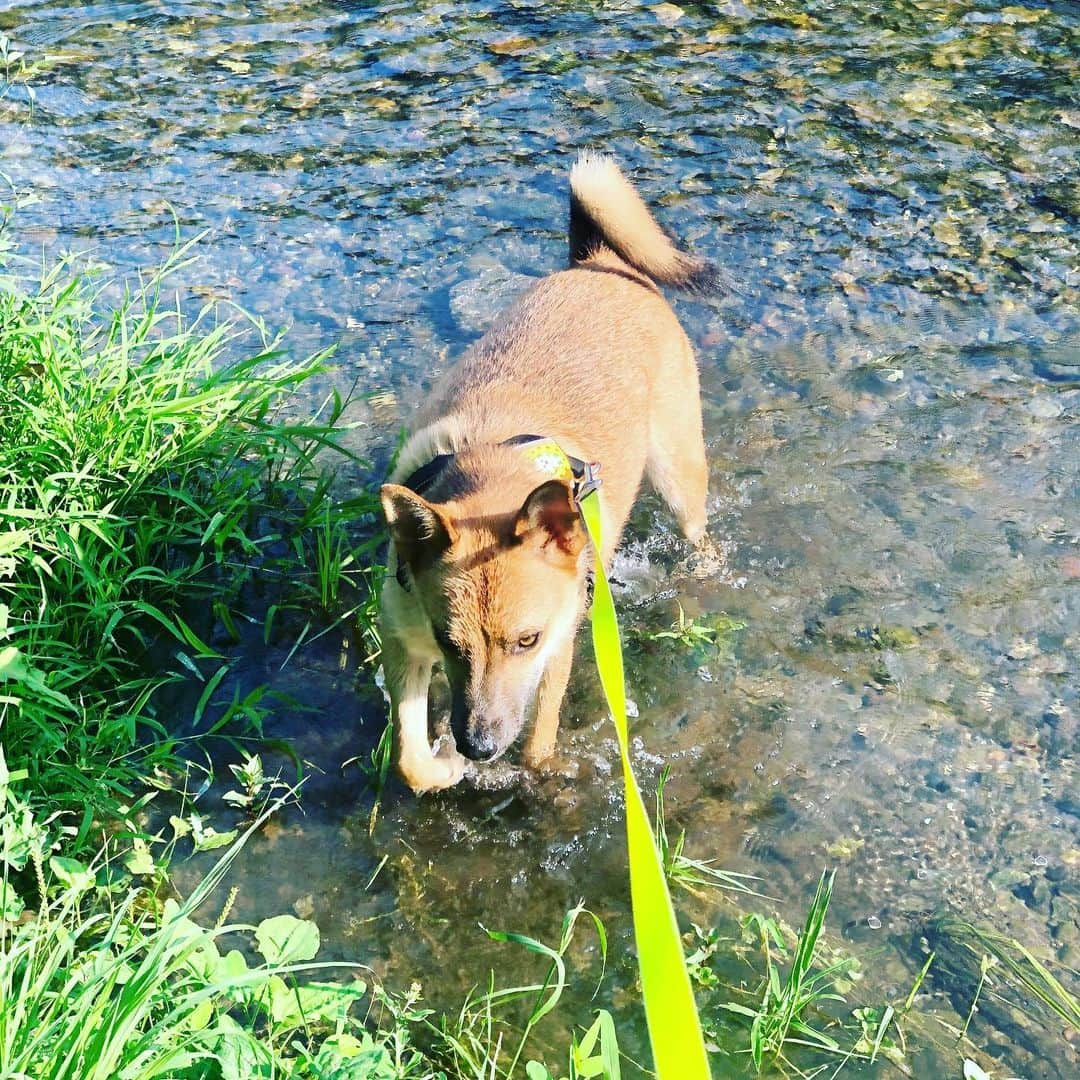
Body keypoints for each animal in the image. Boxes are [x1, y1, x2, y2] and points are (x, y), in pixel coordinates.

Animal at [375, 154, 712, 794]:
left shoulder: (560, 646)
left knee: (698, 530)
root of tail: (600, 264)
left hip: (679, 473)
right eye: (449, 641)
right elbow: (409, 762)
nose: (479, 747)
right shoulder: (405, 642)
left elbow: (537, 746)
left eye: (525, 641)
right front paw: (444, 762)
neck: (491, 465)